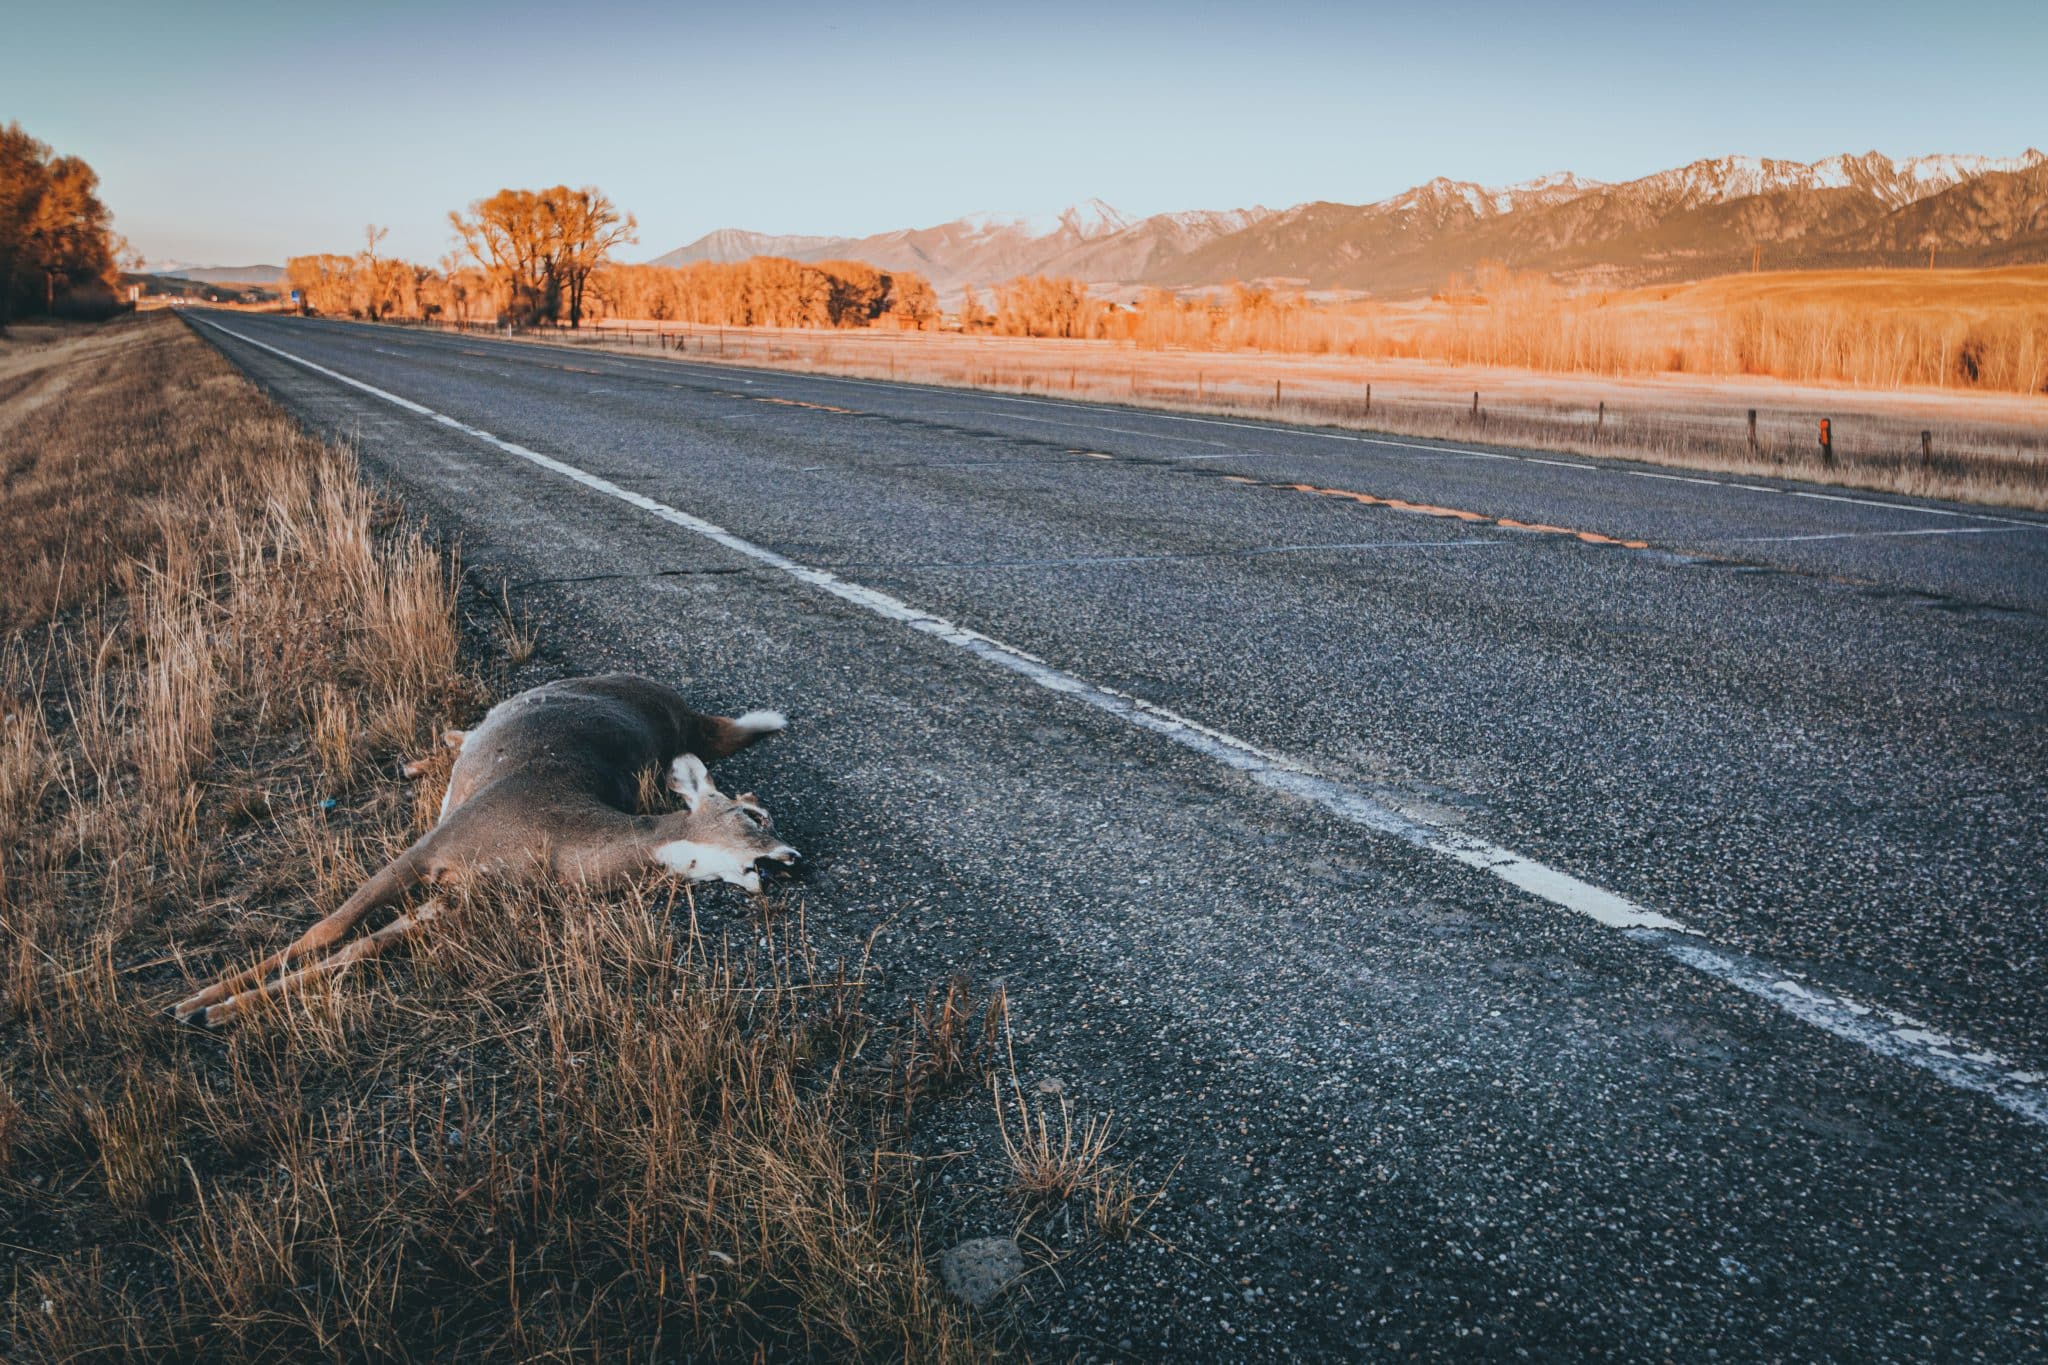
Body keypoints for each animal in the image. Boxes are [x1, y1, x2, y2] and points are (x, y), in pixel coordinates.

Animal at [176, 671, 790, 1023]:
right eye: (752, 813)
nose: (795, 858)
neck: (559, 839)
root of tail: (684, 712)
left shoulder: (461, 899)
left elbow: (357, 950)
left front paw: (221, 1011)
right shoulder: (433, 844)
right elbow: (326, 929)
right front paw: (195, 1001)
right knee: (464, 728)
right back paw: (418, 760)